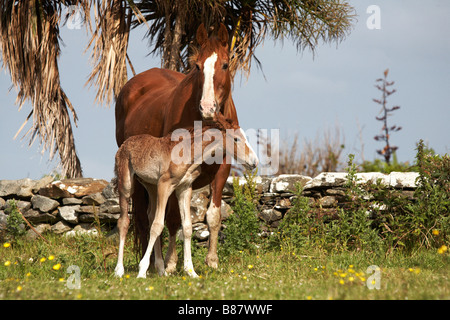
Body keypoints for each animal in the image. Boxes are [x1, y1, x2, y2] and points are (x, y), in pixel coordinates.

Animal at [114, 114, 258, 278]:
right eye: (236, 139)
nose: (254, 162)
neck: (189, 153)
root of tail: (124, 145)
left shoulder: (185, 188)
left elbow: (187, 227)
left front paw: (191, 271)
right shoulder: (165, 185)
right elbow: (158, 226)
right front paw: (142, 270)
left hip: (151, 186)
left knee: (150, 216)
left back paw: (161, 269)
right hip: (126, 184)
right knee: (124, 221)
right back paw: (119, 270)